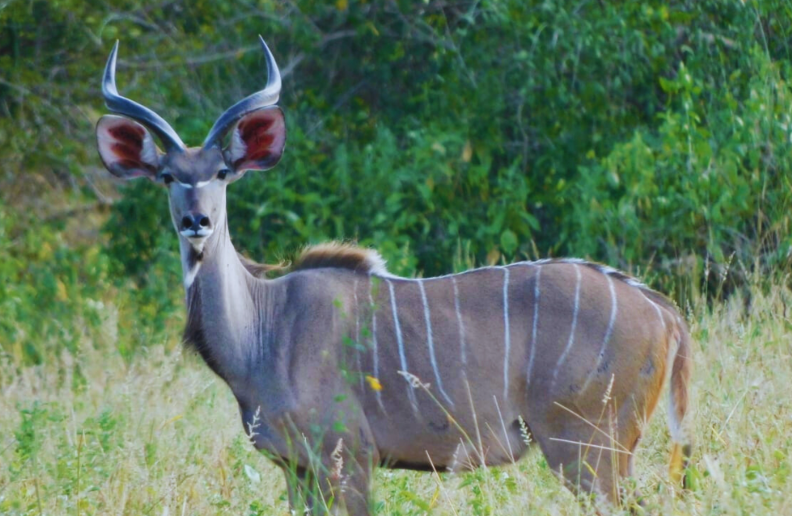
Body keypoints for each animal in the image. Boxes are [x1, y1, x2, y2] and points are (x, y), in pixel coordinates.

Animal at [96, 38, 688, 512]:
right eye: (167, 176)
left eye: (222, 172)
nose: (197, 221)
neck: (263, 328)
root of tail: (663, 312)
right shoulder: (296, 468)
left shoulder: (347, 457)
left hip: (586, 447)